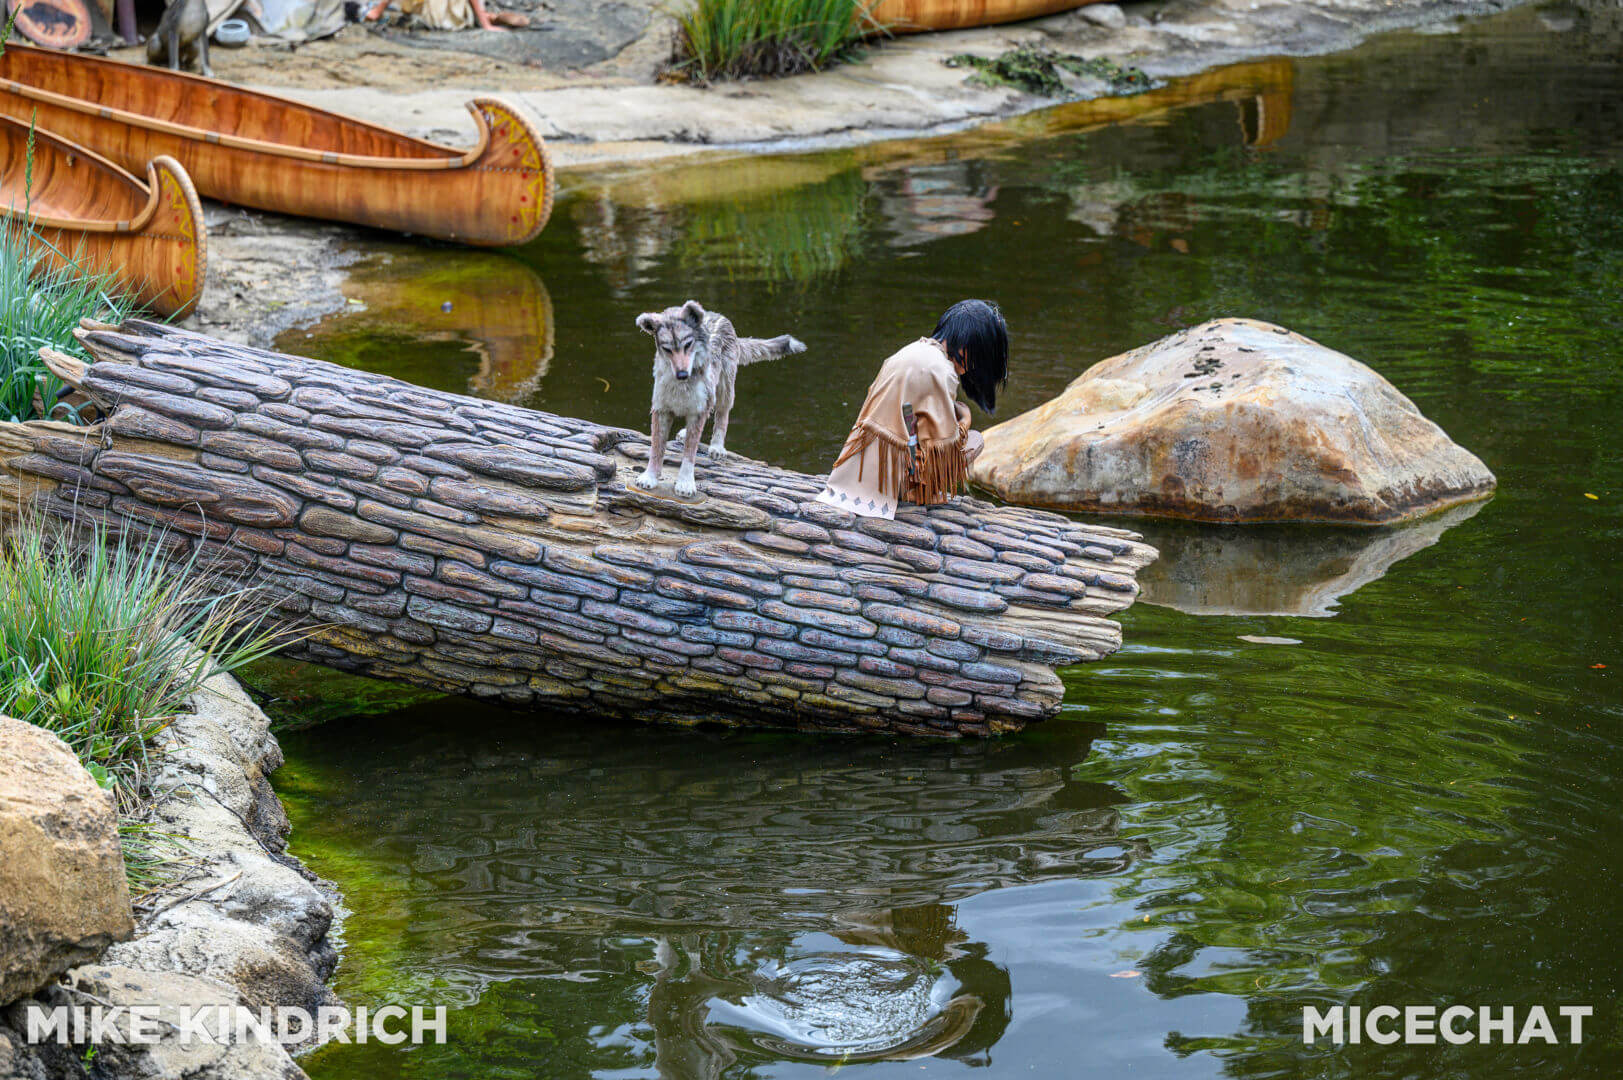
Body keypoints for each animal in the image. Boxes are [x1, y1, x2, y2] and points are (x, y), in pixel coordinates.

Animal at [636, 297, 808, 493]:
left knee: (722, 415)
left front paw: (685, 482)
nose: (682, 374)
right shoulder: (661, 409)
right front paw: (649, 476)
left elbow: (690, 453)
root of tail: (719, 316)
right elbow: (656, 448)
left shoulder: (700, 408)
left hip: (725, 388)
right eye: (667, 349)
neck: (682, 385)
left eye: (688, 344)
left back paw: (717, 446)